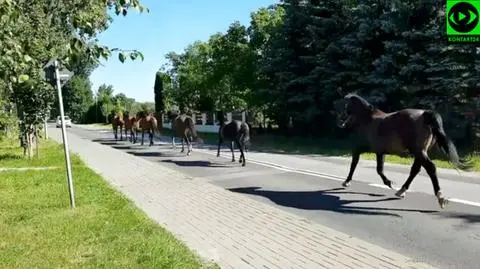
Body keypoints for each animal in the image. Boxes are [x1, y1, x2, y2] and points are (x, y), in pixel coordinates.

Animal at [332, 93, 470, 208]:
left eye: (344, 105)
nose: (339, 122)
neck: (367, 119)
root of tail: (425, 114)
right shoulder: (380, 152)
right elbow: (379, 169)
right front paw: (390, 183)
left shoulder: (359, 149)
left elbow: (354, 165)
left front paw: (347, 182)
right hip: (420, 152)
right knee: (415, 170)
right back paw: (401, 191)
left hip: (419, 152)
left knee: (430, 168)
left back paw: (440, 197)